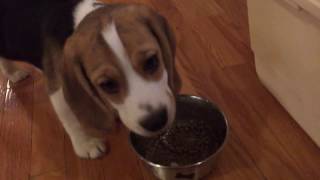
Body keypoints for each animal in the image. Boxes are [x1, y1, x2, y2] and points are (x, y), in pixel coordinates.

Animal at [0, 0, 180, 159]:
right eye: (107, 85)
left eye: (152, 62)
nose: (156, 121)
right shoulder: (58, 90)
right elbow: (71, 119)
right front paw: (86, 144)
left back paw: (13, 73)